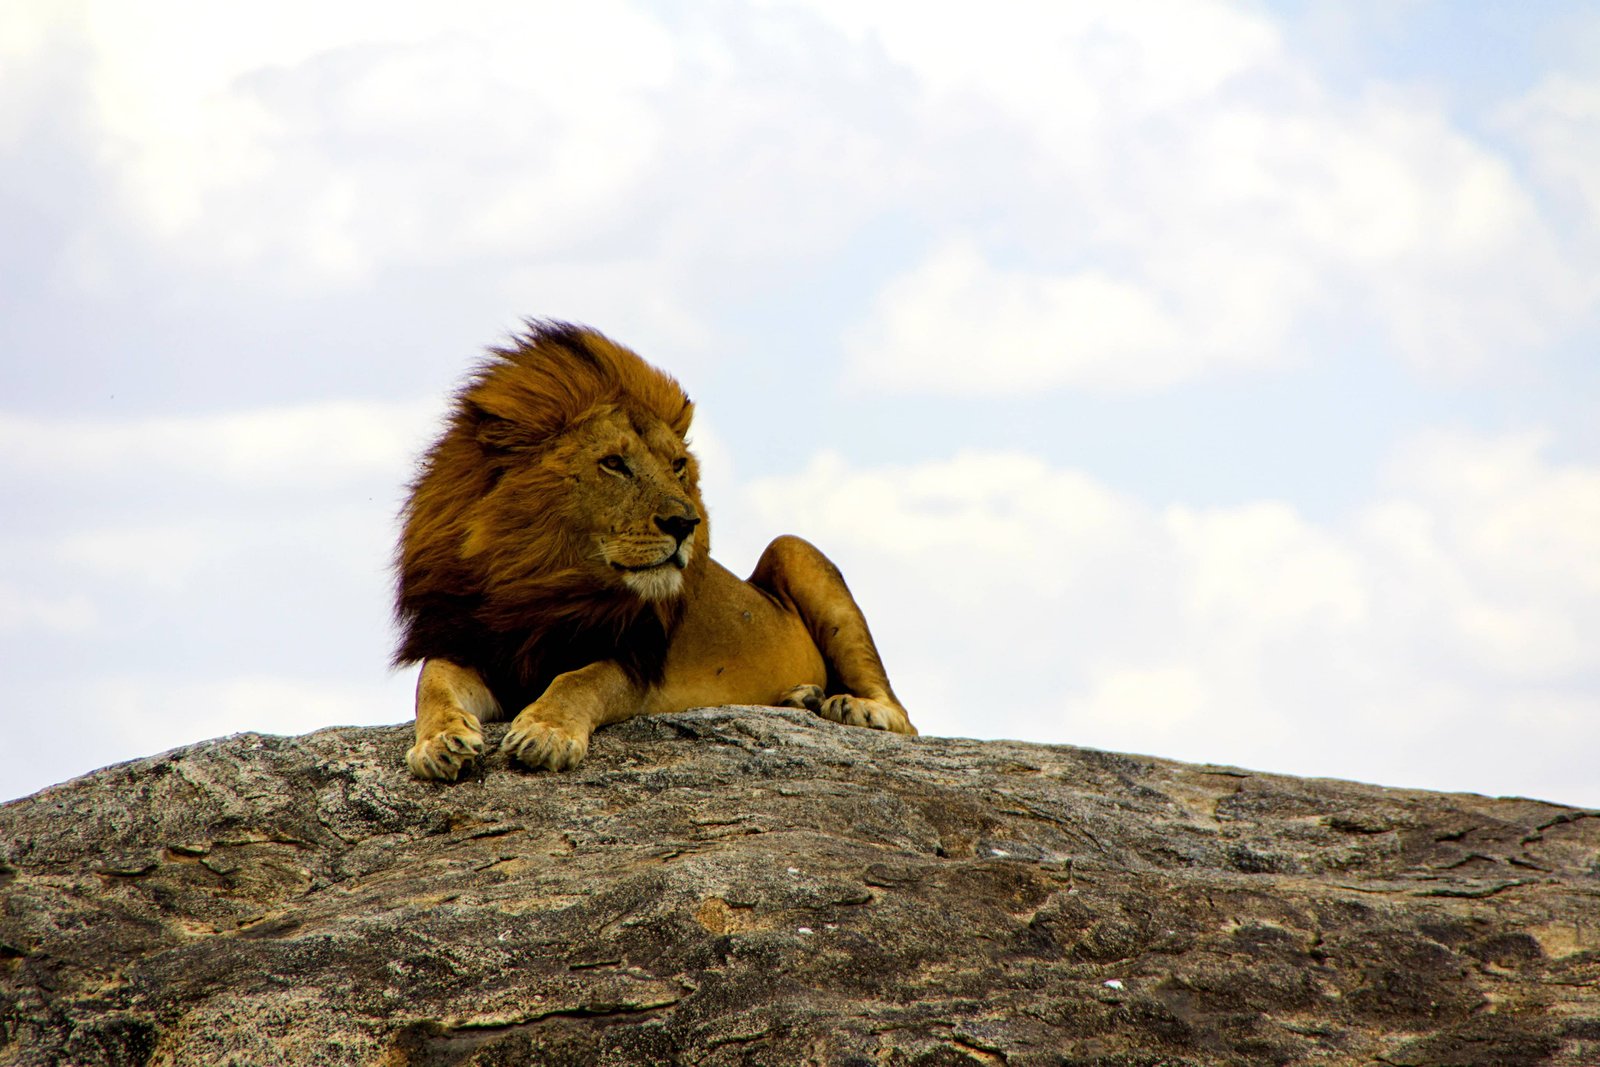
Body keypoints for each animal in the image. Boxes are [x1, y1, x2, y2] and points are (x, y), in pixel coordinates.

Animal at [395, 321, 915, 780]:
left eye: (678, 465)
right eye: (613, 463)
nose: (687, 523)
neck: (539, 578)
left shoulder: (636, 662)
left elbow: (579, 680)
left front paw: (545, 733)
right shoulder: (473, 642)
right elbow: (431, 682)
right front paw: (440, 743)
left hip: (793, 548)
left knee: (905, 718)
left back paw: (851, 708)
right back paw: (801, 698)